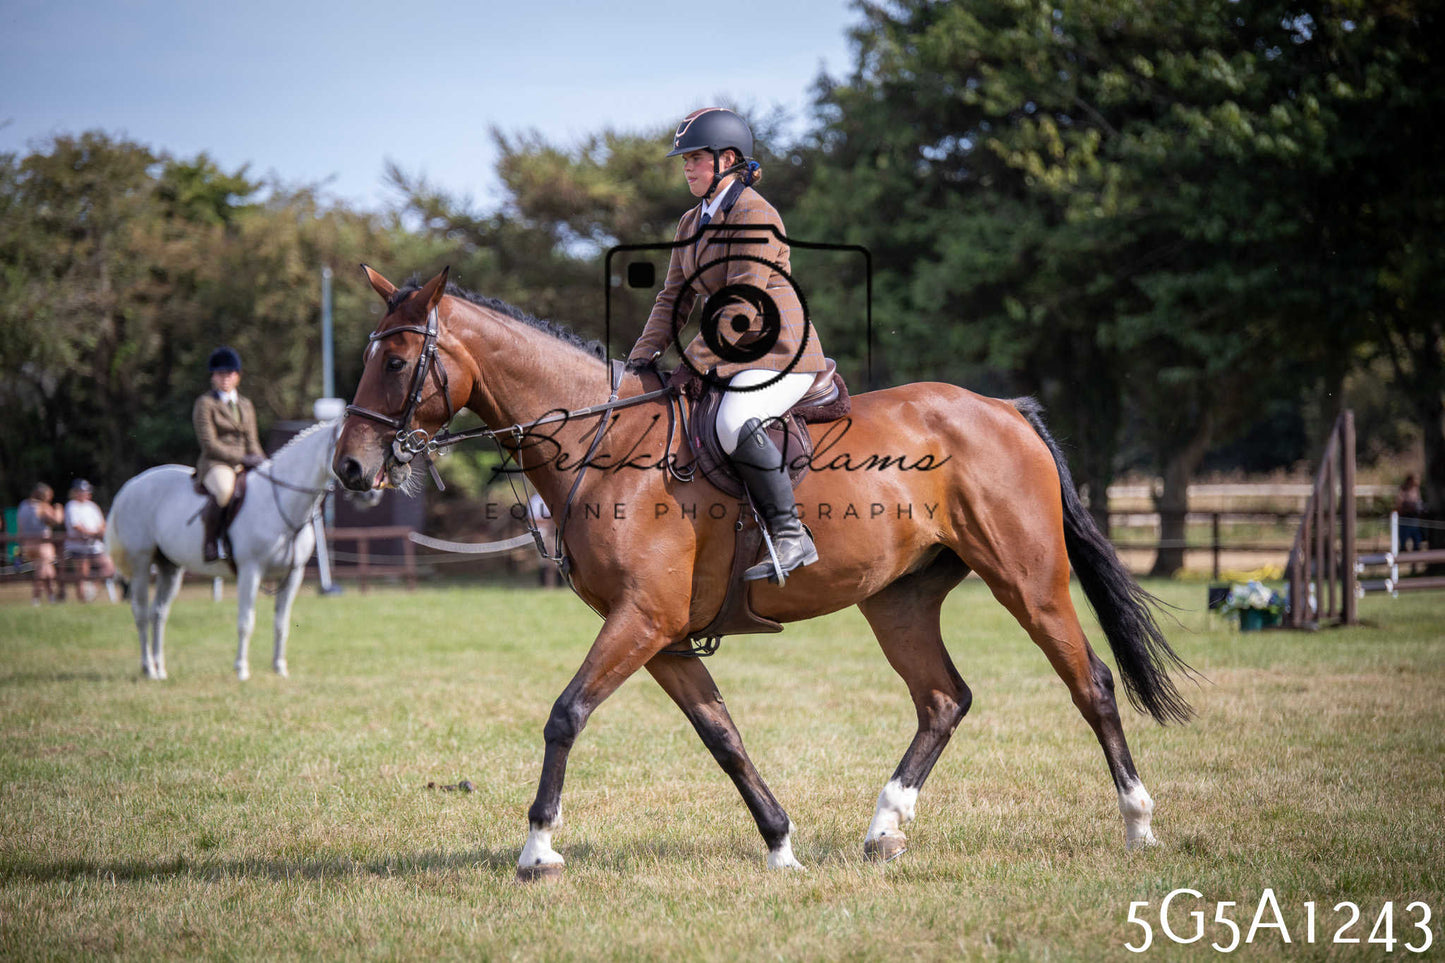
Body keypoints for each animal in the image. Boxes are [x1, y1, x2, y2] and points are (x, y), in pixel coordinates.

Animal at [106, 419, 340, 681]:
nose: (364, 484)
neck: (280, 503)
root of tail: (131, 485)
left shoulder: (293, 575)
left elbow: (282, 623)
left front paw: (280, 668)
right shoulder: (250, 571)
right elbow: (246, 622)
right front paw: (242, 670)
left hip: (170, 567)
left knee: (159, 613)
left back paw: (160, 669)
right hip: (141, 564)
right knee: (141, 612)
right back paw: (148, 668)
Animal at [334, 266, 1194, 880]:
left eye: (398, 360)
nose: (349, 467)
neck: (607, 444)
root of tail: (1003, 407)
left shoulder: (641, 620)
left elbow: (565, 714)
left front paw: (537, 847)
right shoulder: (663, 637)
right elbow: (723, 736)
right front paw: (780, 844)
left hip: (1028, 579)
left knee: (1091, 685)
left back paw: (1138, 822)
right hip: (898, 600)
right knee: (943, 699)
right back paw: (884, 827)